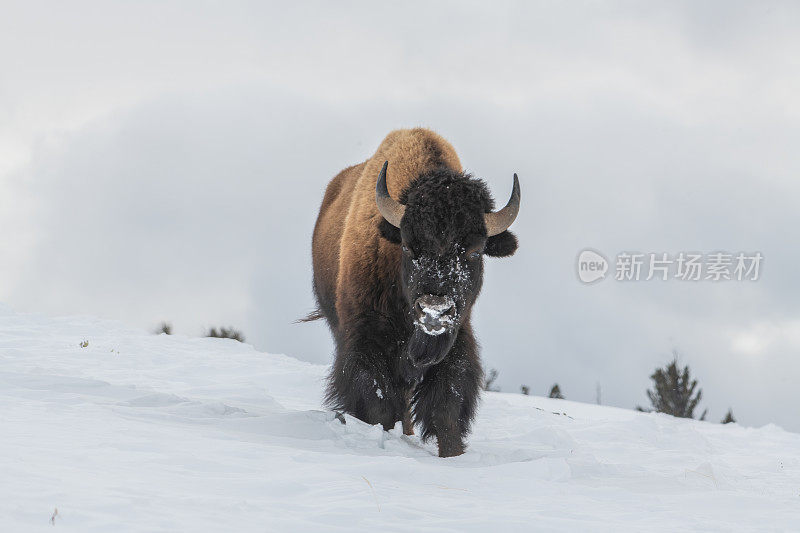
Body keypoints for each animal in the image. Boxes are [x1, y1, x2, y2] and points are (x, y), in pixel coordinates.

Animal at [306, 128, 520, 454]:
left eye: (475, 251)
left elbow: (446, 407)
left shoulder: (455, 341)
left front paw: (452, 454)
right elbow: (378, 403)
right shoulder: (366, 341)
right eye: (407, 246)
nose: (434, 311)